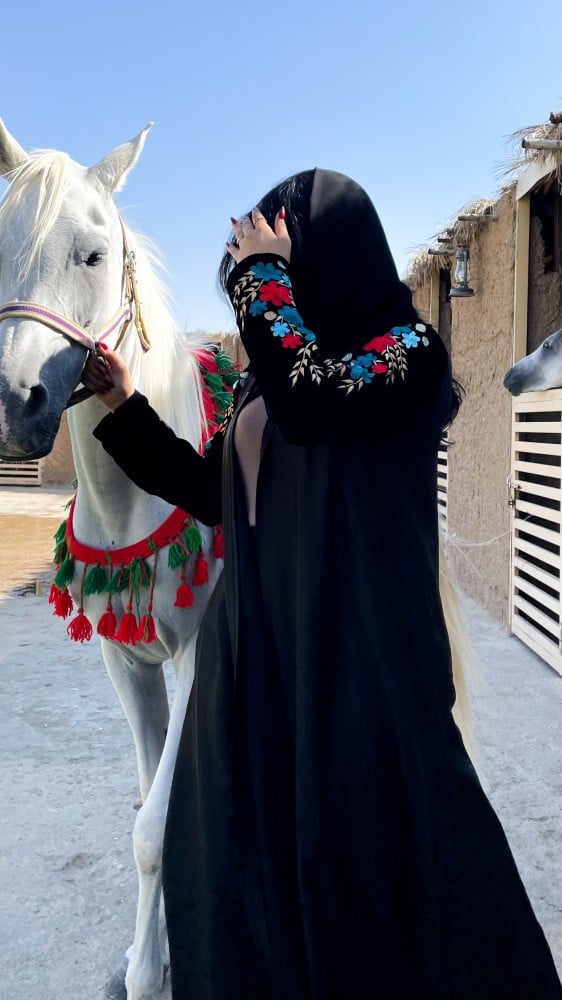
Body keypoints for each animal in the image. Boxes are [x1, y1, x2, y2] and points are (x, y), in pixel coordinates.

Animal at [0, 120, 226, 1000]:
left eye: (93, 255)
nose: (15, 405)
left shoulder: (197, 655)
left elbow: (155, 828)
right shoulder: (124, 663)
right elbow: (144, 805)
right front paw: (144, 962)